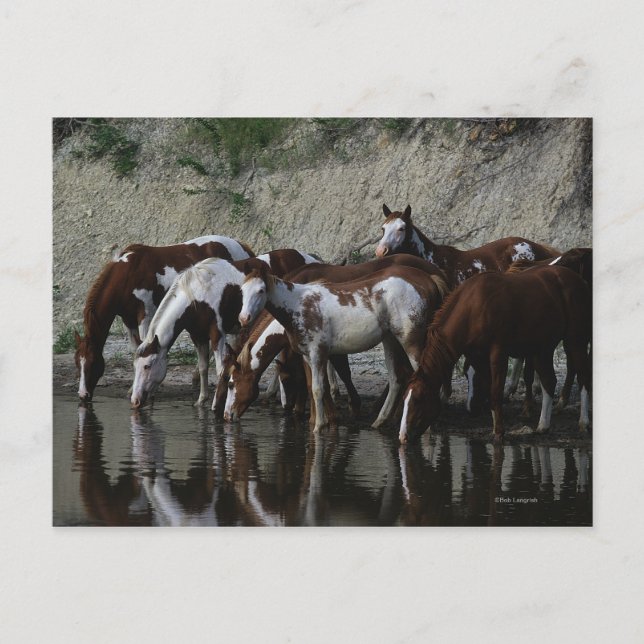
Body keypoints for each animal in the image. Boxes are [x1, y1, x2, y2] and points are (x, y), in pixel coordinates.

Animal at [74, 235, 254, 402]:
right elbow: (136, 349)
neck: (128, 274)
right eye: (77, 363)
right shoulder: (128, 320)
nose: (83, 394)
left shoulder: (145, 316)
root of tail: (242, 247)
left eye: (92, 363)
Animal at [130, 249, 320, 411]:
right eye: (135, 366)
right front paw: (201, 400)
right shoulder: (198, 336)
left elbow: (220, 369)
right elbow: (203, 367)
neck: (198, 295)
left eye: (147, 366)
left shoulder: (217, 335)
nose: (135, 401)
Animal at [223, 254, 448, 424]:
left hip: (411, 342)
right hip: (391, 341)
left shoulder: (318, 353)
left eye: (232, 384)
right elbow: (313, 386)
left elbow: (320, 386)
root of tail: (428, 278)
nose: (227, 415)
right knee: (396, 379)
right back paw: (381, 421)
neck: (298, 304)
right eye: (242, 290)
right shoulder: (307, 355)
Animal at [399, 265, 592, 444]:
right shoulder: (478, 357)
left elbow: (495, 392)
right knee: (549, 382)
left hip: (575, 341)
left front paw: (499, 432)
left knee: (583, 377)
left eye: (419, 399)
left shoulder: (498, 354)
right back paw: (543, 425)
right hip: (542, 349)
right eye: (405, 399)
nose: (402, 436)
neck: (474, 308)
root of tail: (579, 280)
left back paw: (584, 422)